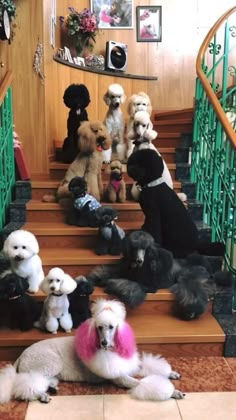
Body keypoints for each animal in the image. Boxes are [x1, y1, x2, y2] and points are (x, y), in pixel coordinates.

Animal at [0, 298, 184, 404]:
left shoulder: (126, 365)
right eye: (99, 327)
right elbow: (139, 383)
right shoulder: (119, 377)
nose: (104, 343)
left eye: (112, 327)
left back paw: (50, 388)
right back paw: (41, 395)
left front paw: (171, 373)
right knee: (26, 385)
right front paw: (173, 391)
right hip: (50, 362)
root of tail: (22, 355)